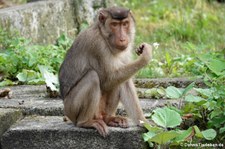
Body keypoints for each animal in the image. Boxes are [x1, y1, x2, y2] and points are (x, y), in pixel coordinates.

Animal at [58, 7, 153, 137]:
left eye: (125, 24)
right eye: (114, 25)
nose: (123, 38)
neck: (104, 36)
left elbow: (124, 81)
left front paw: (144, 122)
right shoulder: (97, 45)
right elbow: (108, 80)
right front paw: (145, 56)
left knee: (119, 81)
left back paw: (109, 119)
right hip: (71, 108)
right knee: (93, 77)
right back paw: (85, 122)